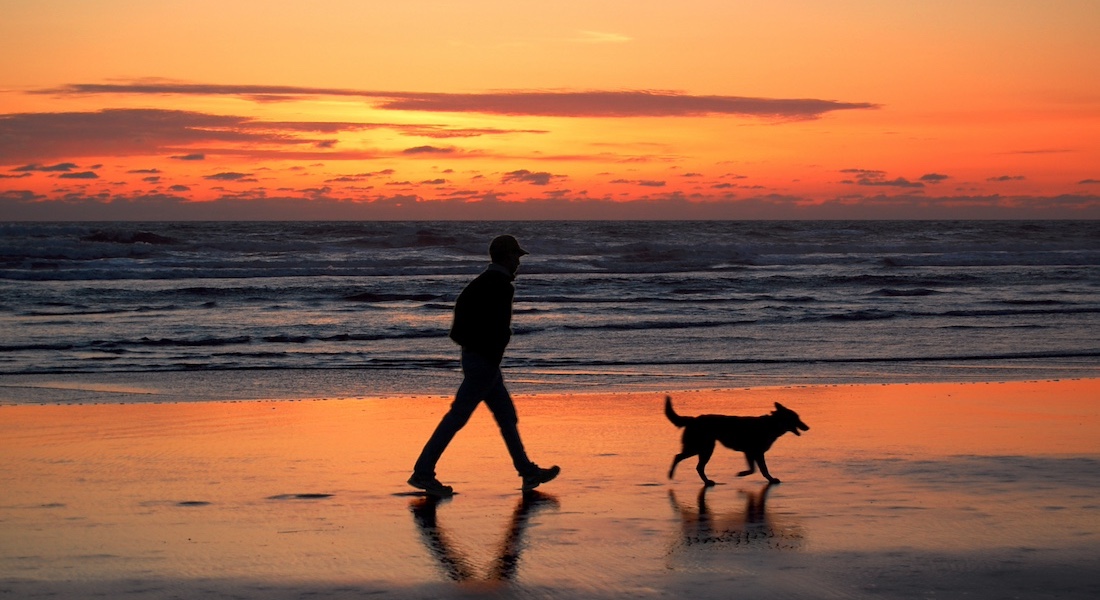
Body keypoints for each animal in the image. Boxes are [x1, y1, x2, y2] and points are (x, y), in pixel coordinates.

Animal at [660, 396, 809, 484]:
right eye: (796, 418)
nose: (807, 427)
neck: (772, 424)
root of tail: (693, 419)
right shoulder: (755, 453)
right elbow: (761, 469)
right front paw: (769, 479)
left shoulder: (751, 453)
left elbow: (754, 469)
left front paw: (745, 474)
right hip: (701, 448)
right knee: (680, 457)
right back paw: (672, 474)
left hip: (703, 449)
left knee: (696, 466)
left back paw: (706, 481)